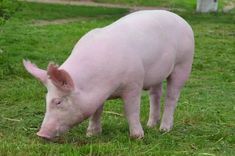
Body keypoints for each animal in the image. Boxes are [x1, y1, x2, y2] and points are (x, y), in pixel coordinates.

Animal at [23, 10, 195, 139]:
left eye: (58, 102)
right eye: (46, 99)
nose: (41, 134)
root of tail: (181, 20)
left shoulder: (134, 82)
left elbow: (131, 109)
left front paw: (137, 137)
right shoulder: (98, 94)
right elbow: (97, 111)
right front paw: (91, 134)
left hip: (183, 64)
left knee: (172, 96)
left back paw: (164, 129)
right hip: (157, 74)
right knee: (156, 95)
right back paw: (151, 125)